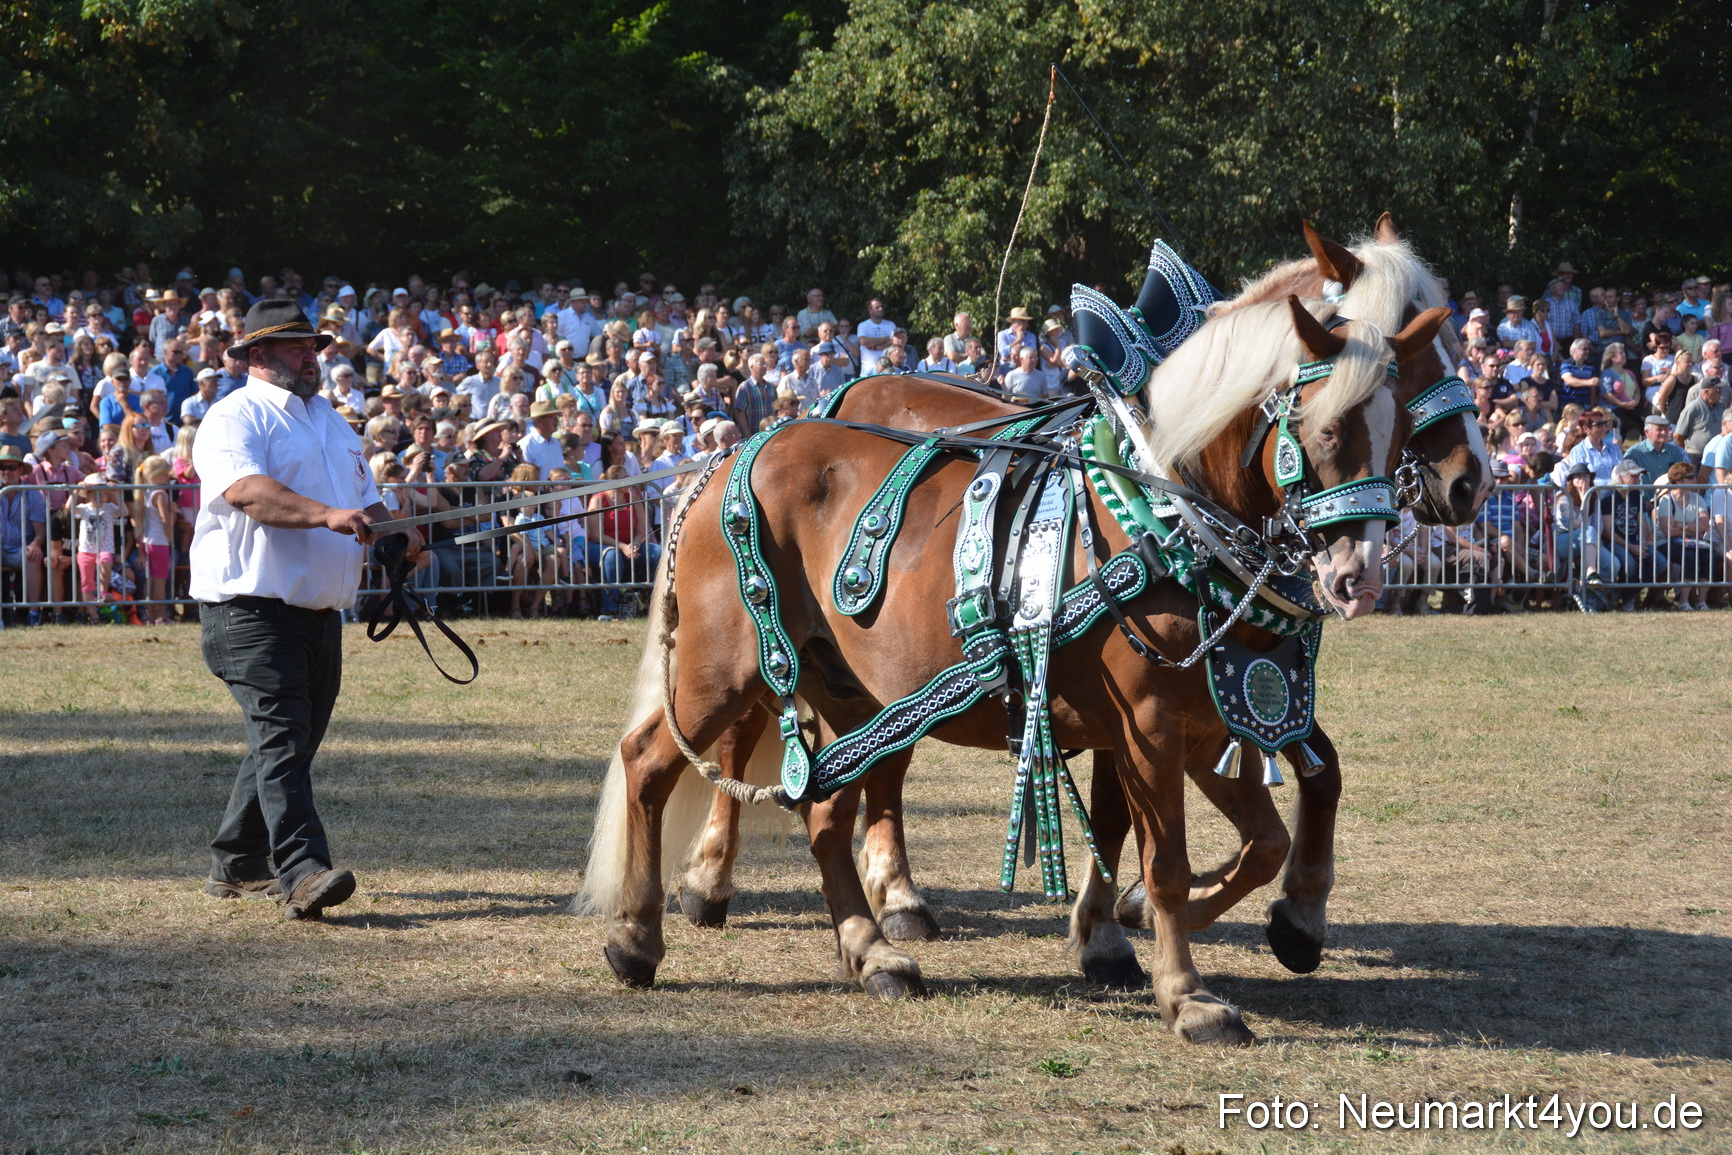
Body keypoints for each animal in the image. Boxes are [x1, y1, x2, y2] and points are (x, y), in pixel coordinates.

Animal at [627, 218, 1488, 987]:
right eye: (1328, 425)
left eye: (1407, 389)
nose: (1468, 482)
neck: (1165, 504)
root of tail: (740, 449)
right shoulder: (1153, 711)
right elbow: (1178, 838)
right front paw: (1164, 931)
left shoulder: (1201, 703)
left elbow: (1272, 809)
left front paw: (1195, 920)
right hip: (730, 665)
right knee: (674, 754)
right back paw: (668, 915)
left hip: (856, 685)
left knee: (838, 794)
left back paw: (877, 929)